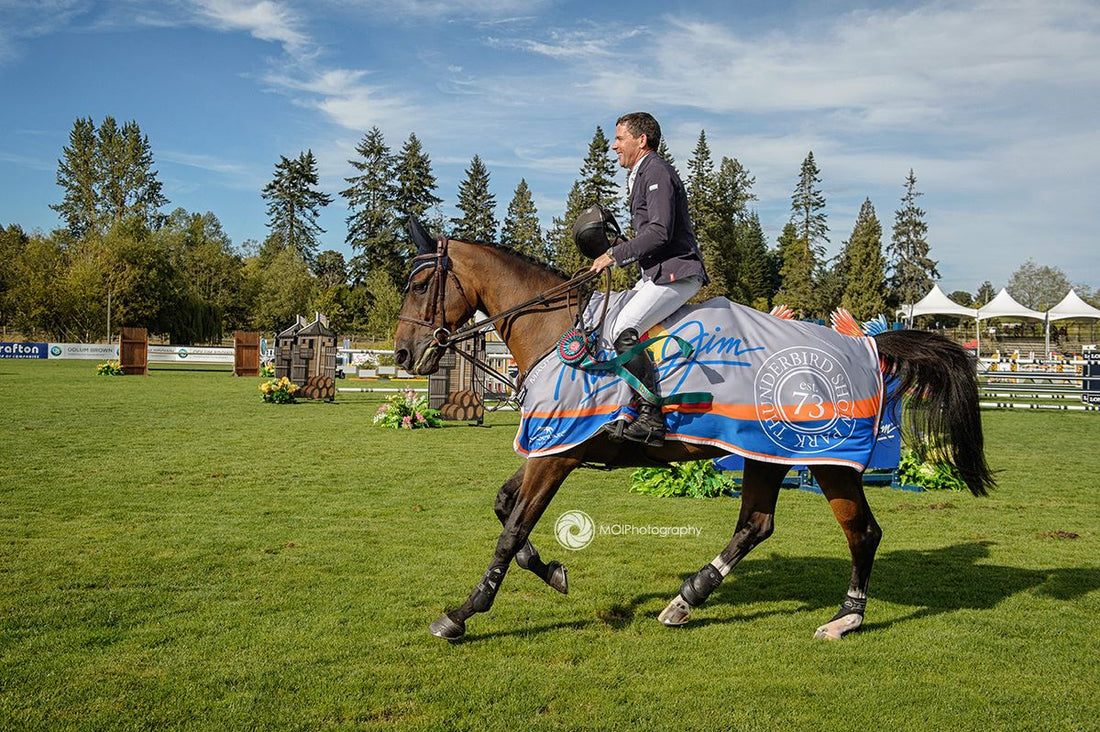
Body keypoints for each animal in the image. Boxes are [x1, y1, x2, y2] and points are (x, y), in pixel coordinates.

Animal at [396, 226, 998, 638]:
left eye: (422, 283)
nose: (403, 355)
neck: (556, 330)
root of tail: (865, 344)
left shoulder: (556, 456)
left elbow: (512, 529)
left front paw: (462, 614)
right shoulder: (551, 446)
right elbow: (505, 508)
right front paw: (553, 571)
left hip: (828, 461)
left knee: (862, 533)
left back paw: (843, 620)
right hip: (762, 454)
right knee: (756, 524)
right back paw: (688, 598)